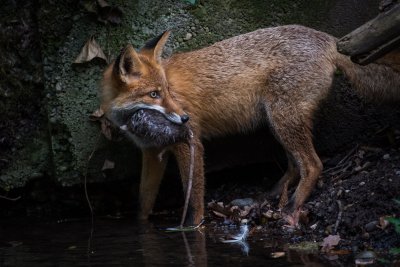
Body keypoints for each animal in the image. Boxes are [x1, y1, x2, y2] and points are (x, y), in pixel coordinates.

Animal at [101, 25, 400, 226]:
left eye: (166, 91)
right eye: (154, 94)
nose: (184, 118)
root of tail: (330, 39)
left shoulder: (188, 143)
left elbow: (194, 197)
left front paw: (194, 229)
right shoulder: (152, 152)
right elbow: (143, 204)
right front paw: (141, 230)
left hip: (284, 119)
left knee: (313, 164)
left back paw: (292, 208)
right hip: (278, 122)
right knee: (295, 165)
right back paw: (274, 195)